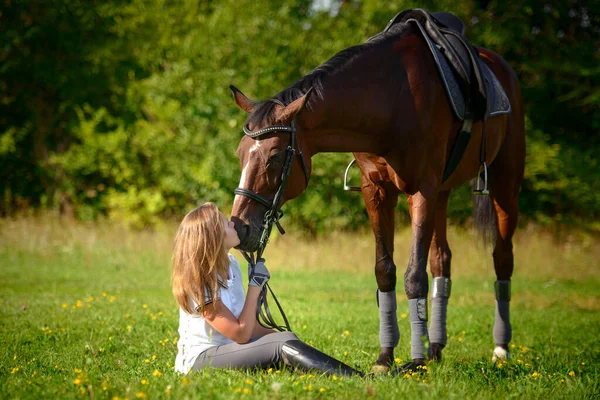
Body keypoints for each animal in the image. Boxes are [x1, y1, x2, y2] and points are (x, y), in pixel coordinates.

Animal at [230, 13, 524, 376]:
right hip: (443, 192)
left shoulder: (421, 191)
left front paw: (415, 360)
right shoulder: (377, 190)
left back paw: (500, 348)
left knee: (502, 258)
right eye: (240, 154)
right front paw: (386, 359)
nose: (239, 226)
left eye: (273, 157)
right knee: (442, 260)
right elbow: (385, 271)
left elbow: (414, 276)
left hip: (504, 182)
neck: (392, 99)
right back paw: (437, 348)